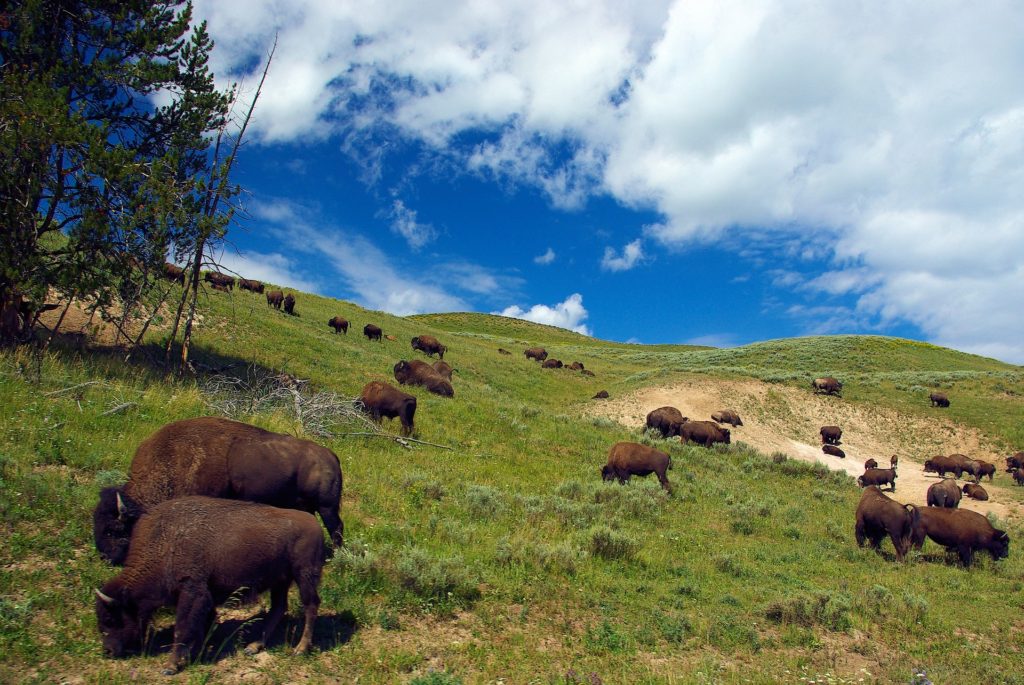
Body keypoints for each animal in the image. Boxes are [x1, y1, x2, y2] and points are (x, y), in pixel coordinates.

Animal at [91, 413, 344, 565]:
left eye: (113, 529)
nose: (104, 557)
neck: (174, 461)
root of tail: (330, 455)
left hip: (327, 507)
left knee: (336, 528)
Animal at [95, 493, 323, 675]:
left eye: (111, 619)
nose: (108, 651)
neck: (164, 542)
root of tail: (314, 523)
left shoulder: (192, 591)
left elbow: (182, 629)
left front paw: (170, 666)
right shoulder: (205, 596)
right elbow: (202, 624)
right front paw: (196, 654)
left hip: (304, 575)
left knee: (310, 605)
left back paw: (300, 649)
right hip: (279, 580)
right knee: (278, 608)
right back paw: (254, 646)